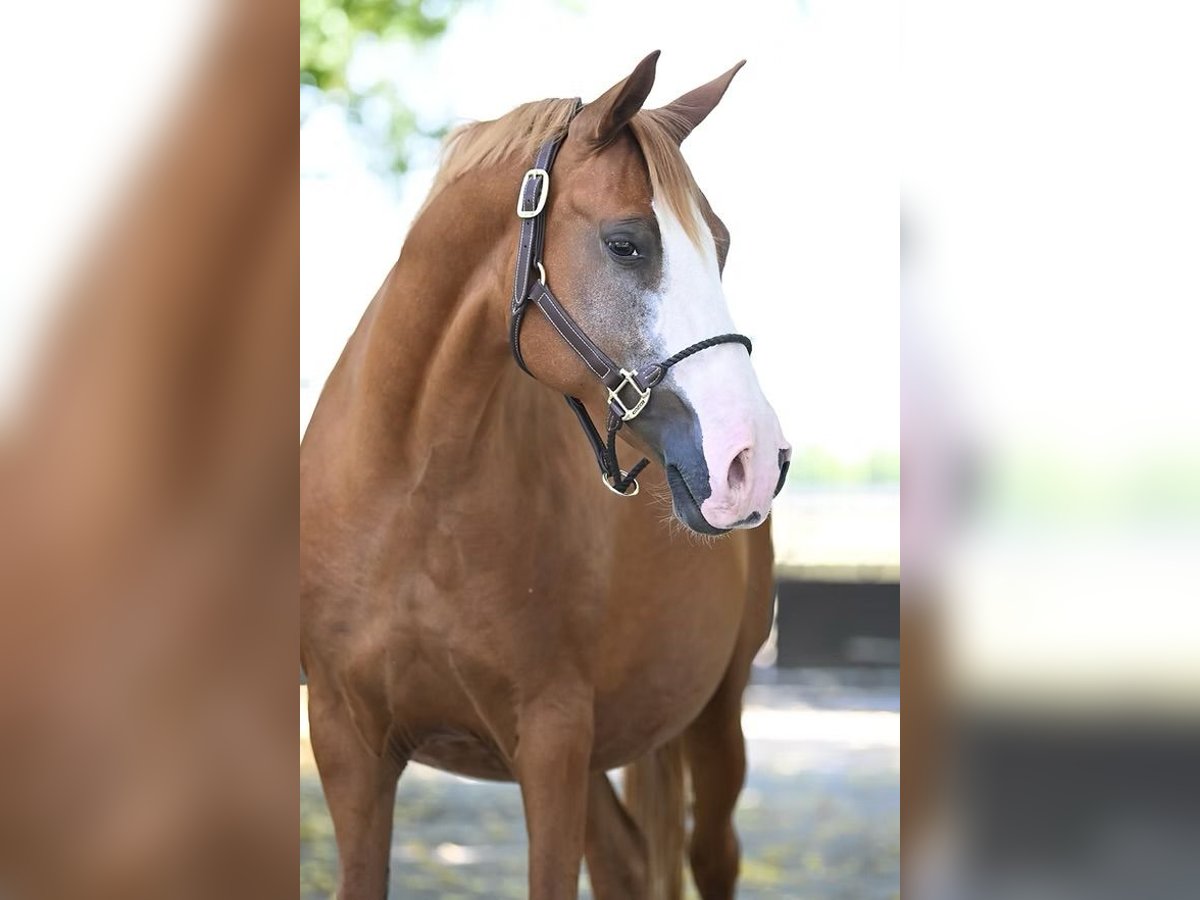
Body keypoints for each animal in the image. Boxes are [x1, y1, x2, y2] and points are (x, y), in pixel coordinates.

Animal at [297, 51, 787, 900]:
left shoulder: (552, 742)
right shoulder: (347, 745)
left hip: (715, 718)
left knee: (710, 856)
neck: (411, 494)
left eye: (721, 246)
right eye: (626, 244)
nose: (754, 460)